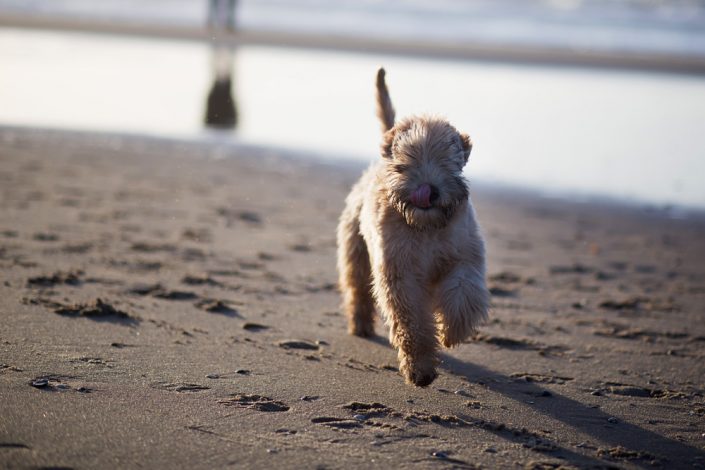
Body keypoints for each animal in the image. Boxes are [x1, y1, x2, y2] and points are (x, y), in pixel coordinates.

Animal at [336, 68, 490, 388]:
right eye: (405, 162)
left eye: (449, 161)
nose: (428, 191)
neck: (426, 228)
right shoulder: (400, 274)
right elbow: (413, 323)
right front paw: (420, 368)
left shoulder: (464, 258)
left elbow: (463, 293)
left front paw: (451, 331)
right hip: (355, 251)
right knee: (357, 289)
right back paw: (360, 325)